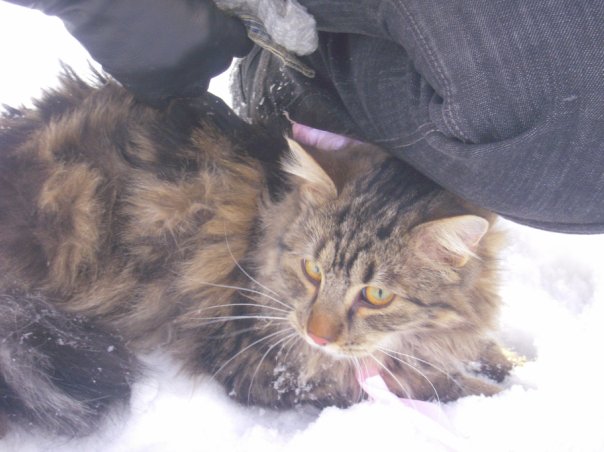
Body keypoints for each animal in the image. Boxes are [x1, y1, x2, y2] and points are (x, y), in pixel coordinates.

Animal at [0, 70, 513, 437]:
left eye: (378, 295)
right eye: (311, 270)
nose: (317, 334)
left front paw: (501, 360)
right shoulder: (261, 362)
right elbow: (428, 384)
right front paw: (497, 392)